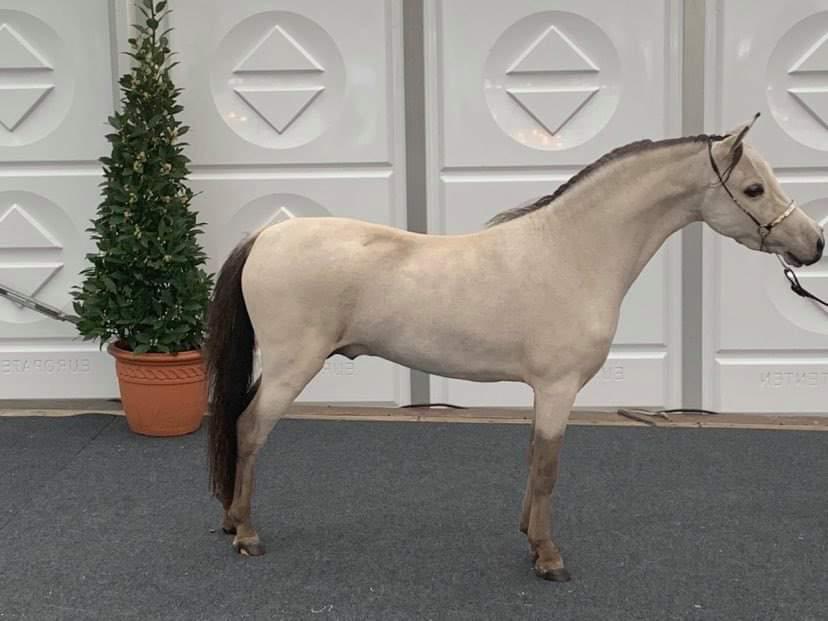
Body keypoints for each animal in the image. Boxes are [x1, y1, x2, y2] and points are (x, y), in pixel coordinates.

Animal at [205, 115, 824, 581]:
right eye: (753, 189)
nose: (813, 244)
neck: (572, 251)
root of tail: (265, 235)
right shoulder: (558, 388)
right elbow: (548, 467)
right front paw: (548, 559)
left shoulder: (541, 391)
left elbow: (532, 458)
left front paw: (529, 536)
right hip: (293, 366)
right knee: (250, 429)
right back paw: (247, 534)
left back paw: (232, 522)